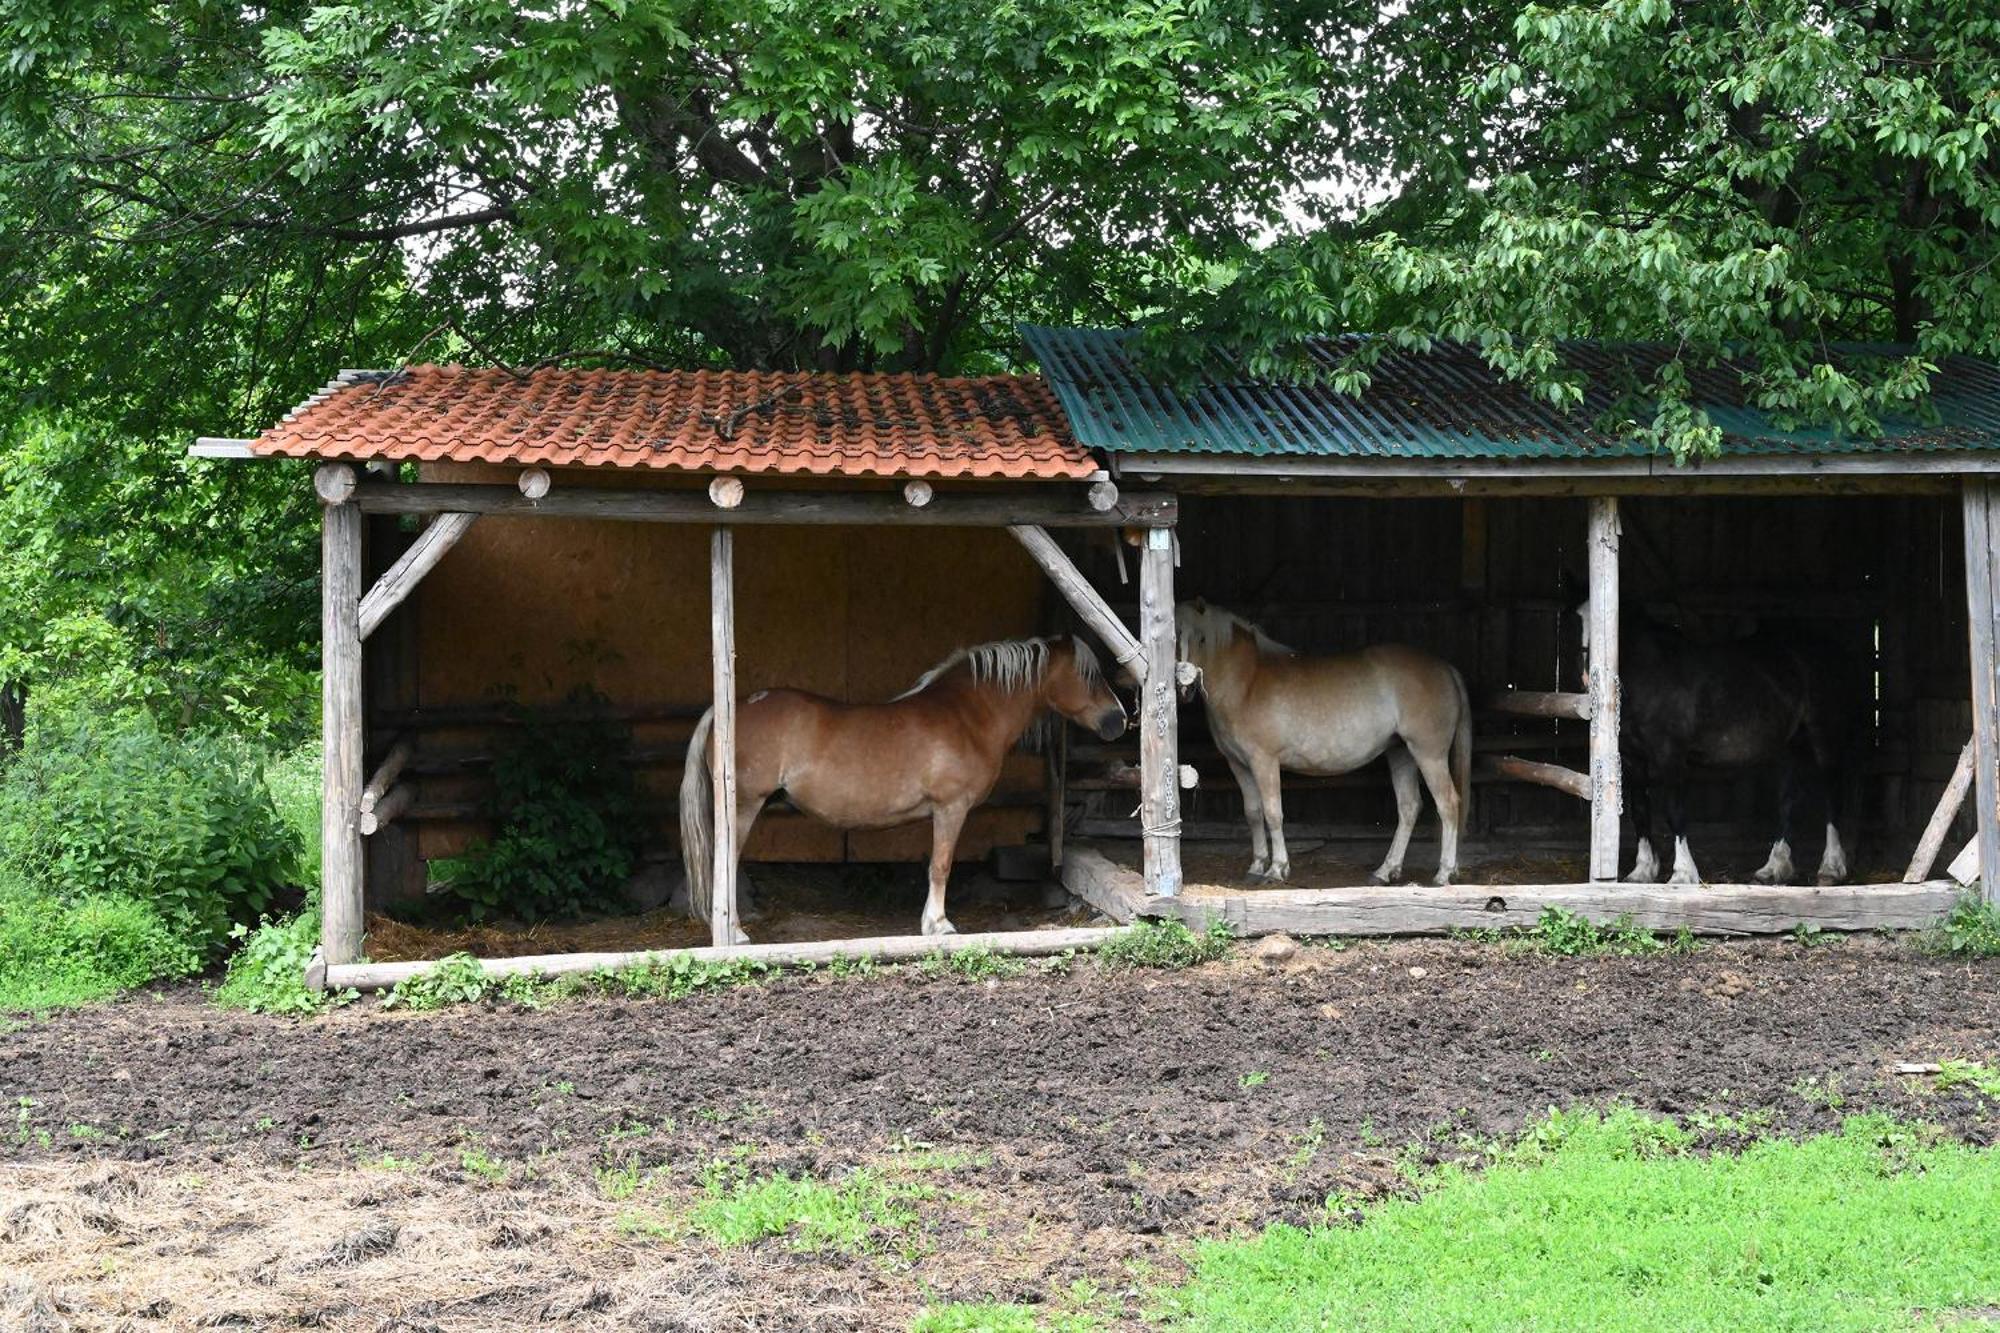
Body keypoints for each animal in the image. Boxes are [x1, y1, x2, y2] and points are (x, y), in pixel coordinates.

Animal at [680, 640, 1128, 940]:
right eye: (1089, 675)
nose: (1119, 721)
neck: (966, 716)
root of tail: (728, 708)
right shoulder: (951, 808)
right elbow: (941, 865)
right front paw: (939, 925)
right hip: (743, 807)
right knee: (726, 864)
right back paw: (734, 934)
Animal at [1168, 600, 1472, 880]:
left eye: (1202, 638)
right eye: (1172, 637)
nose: (1184, 686)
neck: (1247, 682)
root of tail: (1446, 668)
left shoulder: (1264, 761)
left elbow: (1273, 812)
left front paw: (1277, 869)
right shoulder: (1239, 765)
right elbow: (1253, 813)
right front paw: (1256, 866)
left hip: (1428, 754)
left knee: (1448, 804)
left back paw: (1443, 873)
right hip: (1401, 753)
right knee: (1409, 808)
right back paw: (1385, 871)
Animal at [1576, 600, 1856, 880]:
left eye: (1615, 627)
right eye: (1575, 621)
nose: (1588, 679)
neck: (1651, 676)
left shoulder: (1670, 756)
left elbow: (1674, 811)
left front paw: (1683, 873)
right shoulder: (1633, 759)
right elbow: (1640, 811)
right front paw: (1643, 870)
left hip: (1823, 734)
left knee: (1832, 792)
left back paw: (1831, 867)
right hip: (1792, 743)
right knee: (1789, 797)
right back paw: (1775, 867)